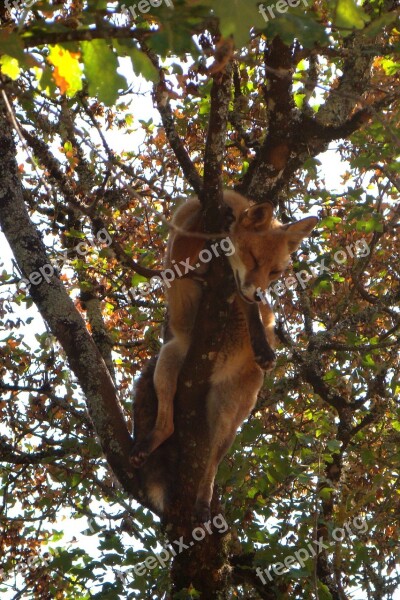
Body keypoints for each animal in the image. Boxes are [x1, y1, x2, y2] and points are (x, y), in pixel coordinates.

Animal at [132, 190, 318, 516]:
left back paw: (204, 500)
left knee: (213, 465)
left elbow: (253, 315)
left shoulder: (236, 289)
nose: (260, 294)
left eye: (275, 272)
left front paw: (262, 345)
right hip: (167, 363)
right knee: (167, 425)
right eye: (254, 259)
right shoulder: (181, 250)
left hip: (229, 418)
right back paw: (151, 443)